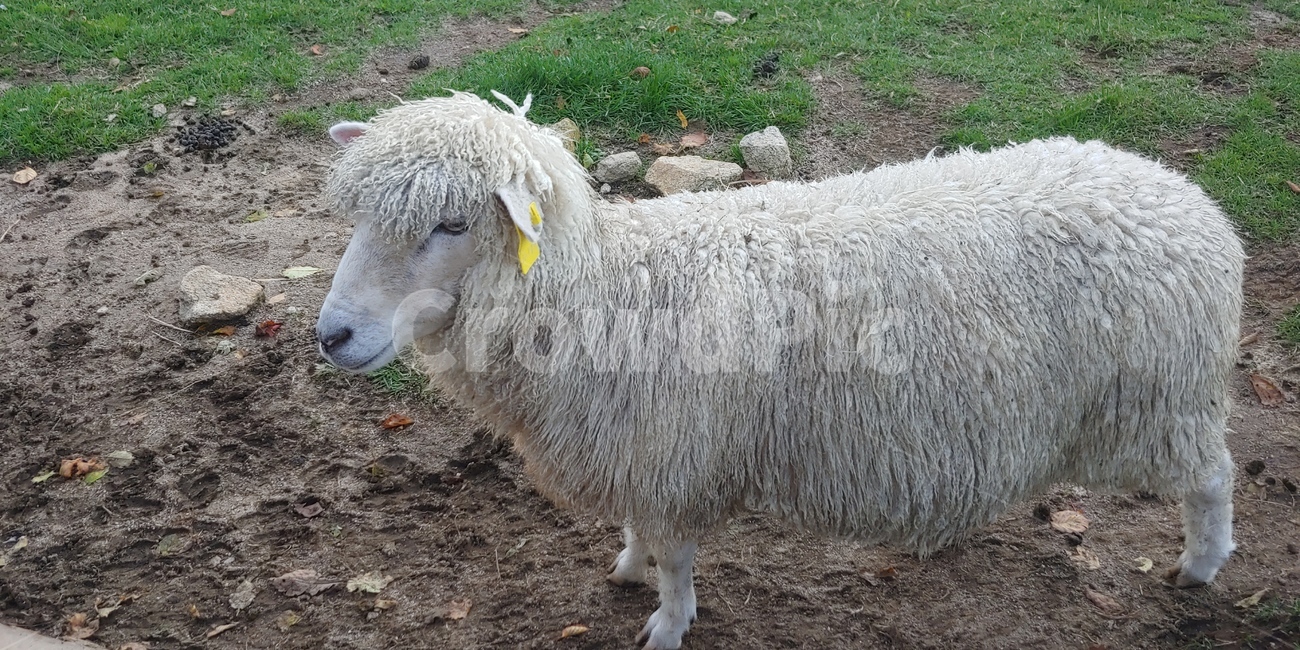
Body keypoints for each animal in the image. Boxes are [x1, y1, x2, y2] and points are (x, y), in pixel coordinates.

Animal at [315, 91, 1243, 650]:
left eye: (451, 223)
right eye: (358, 216)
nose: (332, 335)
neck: (606, 292)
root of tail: (1187, 199)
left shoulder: (677, 458)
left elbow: (678, 559)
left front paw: (667, 621)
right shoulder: (646, 453)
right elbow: (641, 532)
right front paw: (627, 565)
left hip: (1161, 401)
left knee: (1212, 480)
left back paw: (1201, 566)